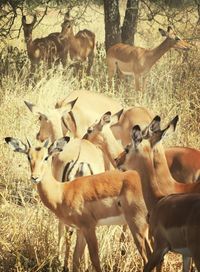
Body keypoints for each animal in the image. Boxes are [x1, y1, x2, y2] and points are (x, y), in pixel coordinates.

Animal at [4, 137, 151, 272]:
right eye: (29, 156)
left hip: (137, 226)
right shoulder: (80, 229)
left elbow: (95, 260)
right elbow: (76, 259)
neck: (62, 192)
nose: (35, 177)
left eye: (46, 157)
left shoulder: (89, 227)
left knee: (148, 257)